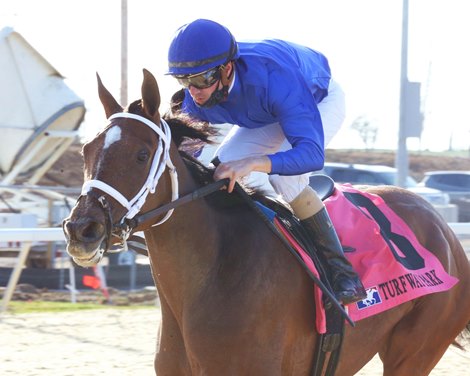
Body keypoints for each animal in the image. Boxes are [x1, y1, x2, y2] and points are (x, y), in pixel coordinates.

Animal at [63, 69, 470, 374]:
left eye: (141, 154)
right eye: (86, 151)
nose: (82, 228)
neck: (213, 274)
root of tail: (445, 229)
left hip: (415, 350)